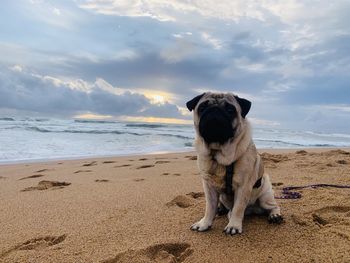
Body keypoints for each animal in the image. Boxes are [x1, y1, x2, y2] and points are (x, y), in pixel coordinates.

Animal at [186, 92, 282, 235]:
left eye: (230, 110)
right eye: (202, 107)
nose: (215, 110)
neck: (218, 153)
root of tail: (252, 210)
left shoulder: (243, 187)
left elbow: (238, 208)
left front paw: (234, 226)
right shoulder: (209, 187)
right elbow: (210, 208)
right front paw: (204, 223)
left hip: (265, 196)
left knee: (272, 206)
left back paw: (275, 215)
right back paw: (221, 209)